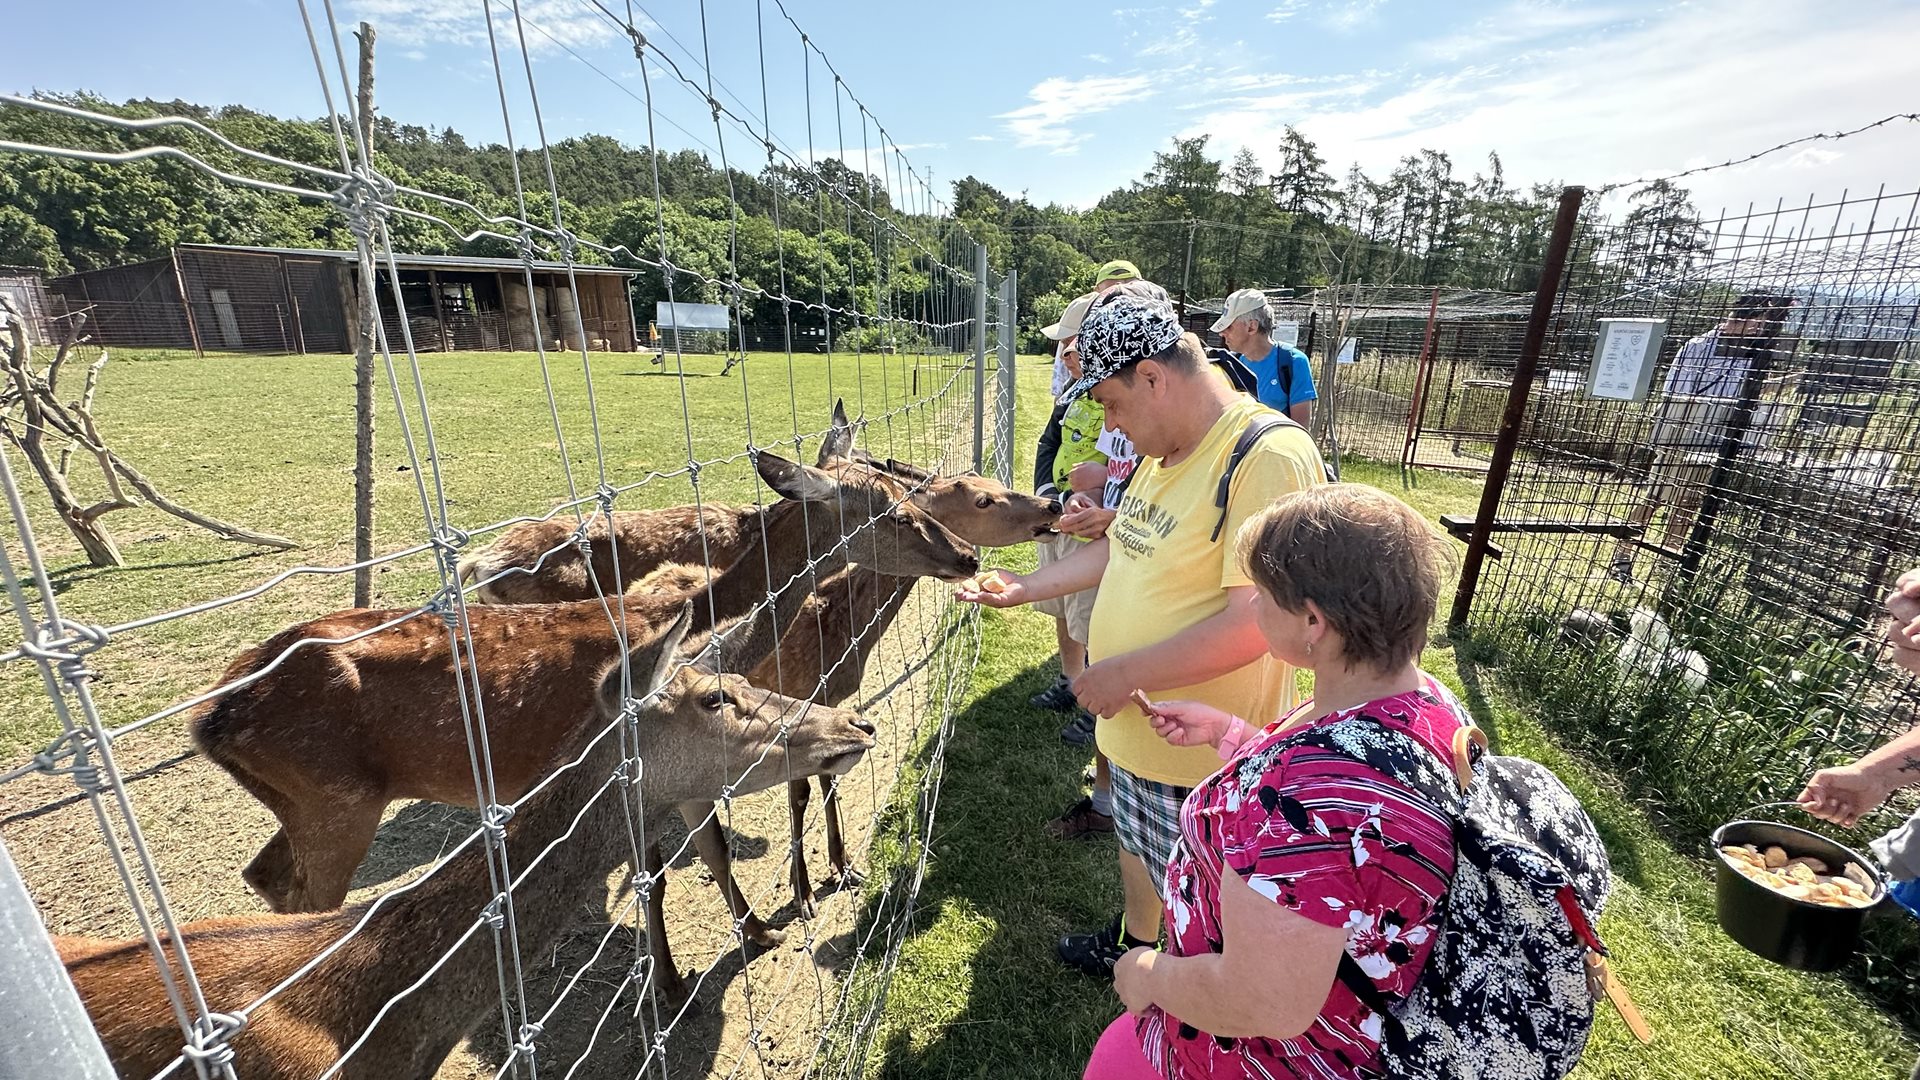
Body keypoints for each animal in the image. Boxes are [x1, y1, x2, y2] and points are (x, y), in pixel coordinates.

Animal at [188, 449, 977, 934]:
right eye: (895, 511)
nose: (968, 555)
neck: (701, 617)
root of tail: (208, 716)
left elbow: (713, 845)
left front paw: (757, 927)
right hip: (336, 804)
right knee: (307, 895)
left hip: (313, 801)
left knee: (266, 873)